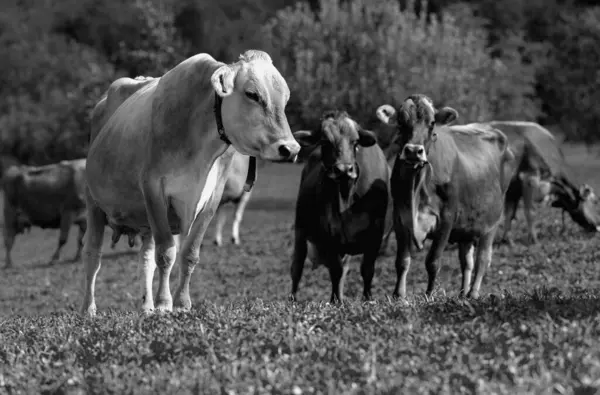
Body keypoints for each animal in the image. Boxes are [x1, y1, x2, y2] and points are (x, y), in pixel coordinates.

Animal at [81, 49, 300, 318]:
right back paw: (89, 309)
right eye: (252, 94)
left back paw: (146, 306)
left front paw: (182, 303)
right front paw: (164, 303)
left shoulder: (212, 197)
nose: (290, 149)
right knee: (93, 255)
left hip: (144, 220)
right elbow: (166, 253)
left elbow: (189, 254)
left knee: (145, 260)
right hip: (93, 203)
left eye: (285, 98)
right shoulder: (154, 189)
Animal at [290, 110, 390, 304]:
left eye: (355, 141)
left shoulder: (376, 233)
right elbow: (335, 272)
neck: (347, 197)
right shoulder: (329, 235)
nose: (344, 169)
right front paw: (336, 301)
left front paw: (367, 298)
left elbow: (367, 269)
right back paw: (292, 300)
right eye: (325, 141)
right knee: (296, 267)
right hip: (300, 229)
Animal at [378, 95, 512, 300]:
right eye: (401, 121)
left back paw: (473, 293)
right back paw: (462, 293)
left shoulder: (447, 219)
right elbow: (402, 261)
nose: (413, 151)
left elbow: (433, 261)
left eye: (432, 123)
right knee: (466, 261)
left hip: (492, 223)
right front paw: (398, 296)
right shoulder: (400, 218)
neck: (416, 186)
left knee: (482, 259)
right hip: (468, 226)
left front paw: (430, 294)